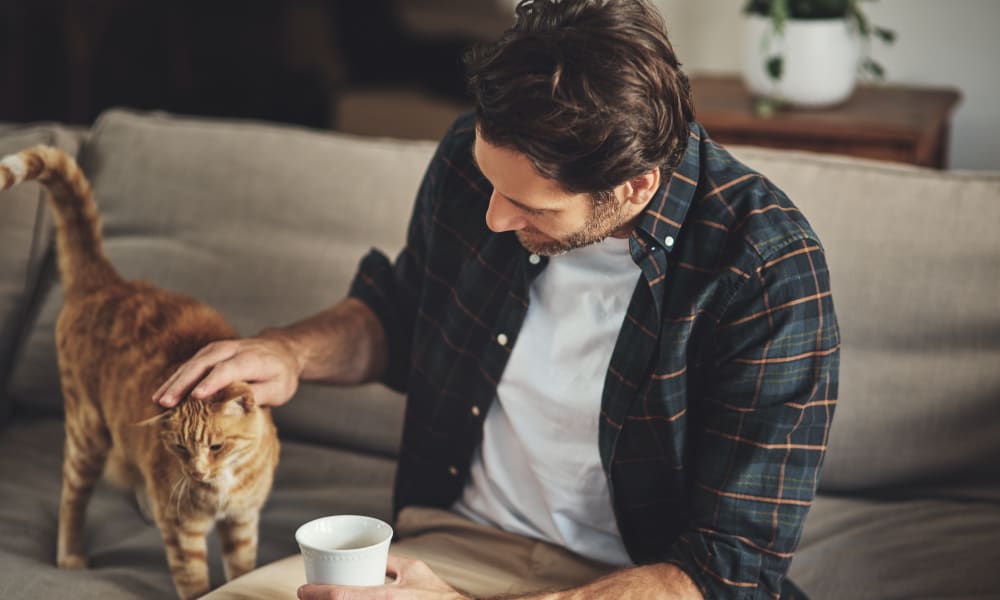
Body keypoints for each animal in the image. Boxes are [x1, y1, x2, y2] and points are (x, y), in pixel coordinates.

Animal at [1, 146, 282, 600]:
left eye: (216, 447)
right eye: (181, 449)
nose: (196, 472)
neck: (220, 490)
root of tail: (109, 282)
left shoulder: (242, 522)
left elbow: (243, 571)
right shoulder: (183, 532)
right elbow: (196, 583)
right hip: (87, 433)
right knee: (71, 498)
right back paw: (71, 554)